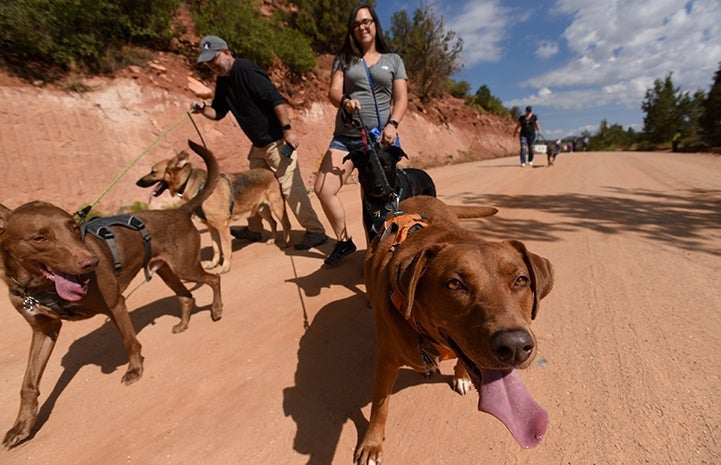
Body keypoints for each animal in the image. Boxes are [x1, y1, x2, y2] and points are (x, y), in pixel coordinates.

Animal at [358, 195, 556, 464]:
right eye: (454, 284)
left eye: (521, 280)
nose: (515, 345)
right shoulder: (386, 362)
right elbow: (380, 407)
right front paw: (372, 444)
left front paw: (462, 376)